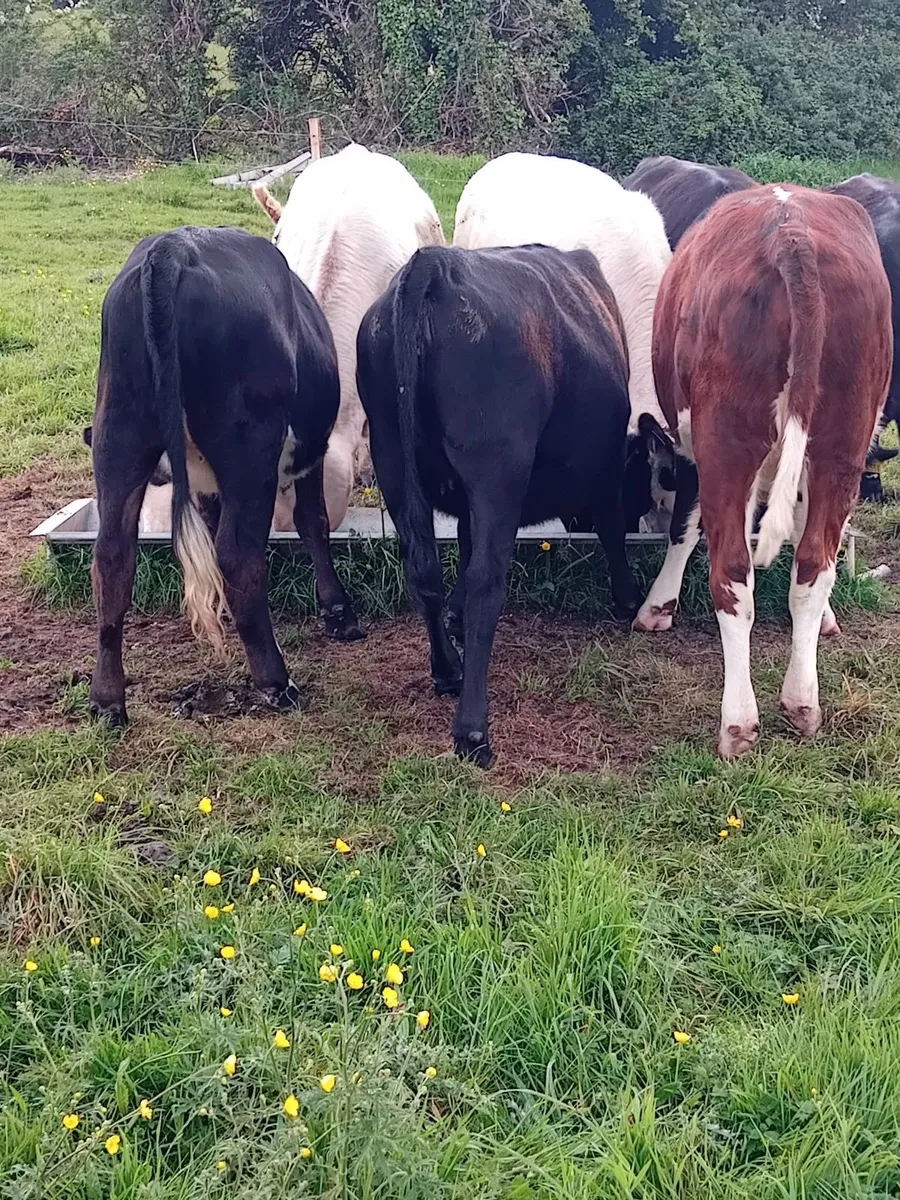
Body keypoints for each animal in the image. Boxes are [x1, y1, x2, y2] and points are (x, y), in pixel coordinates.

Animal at [88, 225, 363, 727]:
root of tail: (173, 249)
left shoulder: (206, 486)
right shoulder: (310, 452)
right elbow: (312, 523)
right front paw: (338, 611)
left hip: (118, 437)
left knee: (113, 557)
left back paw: (106, 699)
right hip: (250, 450)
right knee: (238, 554)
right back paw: (276, 682)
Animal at [356, 243, 640, 768]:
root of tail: (436, 264)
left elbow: (464, 547)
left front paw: (454, 619)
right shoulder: (609, 463)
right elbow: (612, 528)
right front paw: (629, 599)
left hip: (391, 456)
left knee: (424, 569)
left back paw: (448, 670)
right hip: (498, 468)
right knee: (487, 583)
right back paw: (472, 730)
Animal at [631, 185, 892, 758]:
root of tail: (791, 233)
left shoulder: (694, 453)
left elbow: (687, 526)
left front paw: (658, 605)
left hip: (726, 447)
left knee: (732, 575)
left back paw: (738, 722)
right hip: (842, 446)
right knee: (814, 565)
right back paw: (802, 701)